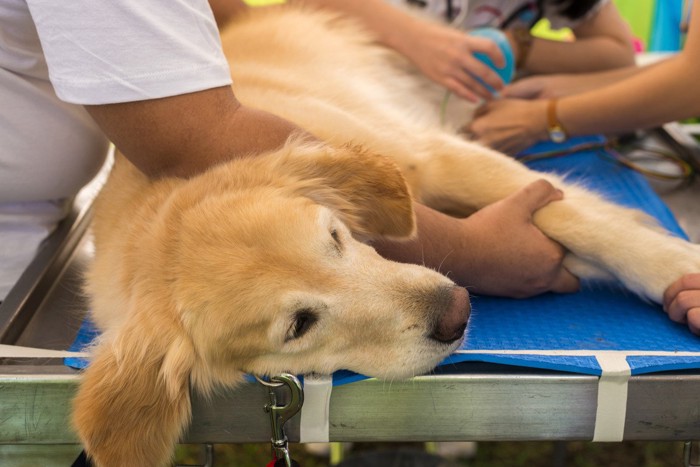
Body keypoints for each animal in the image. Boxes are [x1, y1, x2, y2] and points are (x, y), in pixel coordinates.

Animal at [72, 4, 700, 467]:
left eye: (336, 236)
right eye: (299, 326)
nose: (457, 310)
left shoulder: (433, 157)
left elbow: (579, 220)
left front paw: (675, 266)